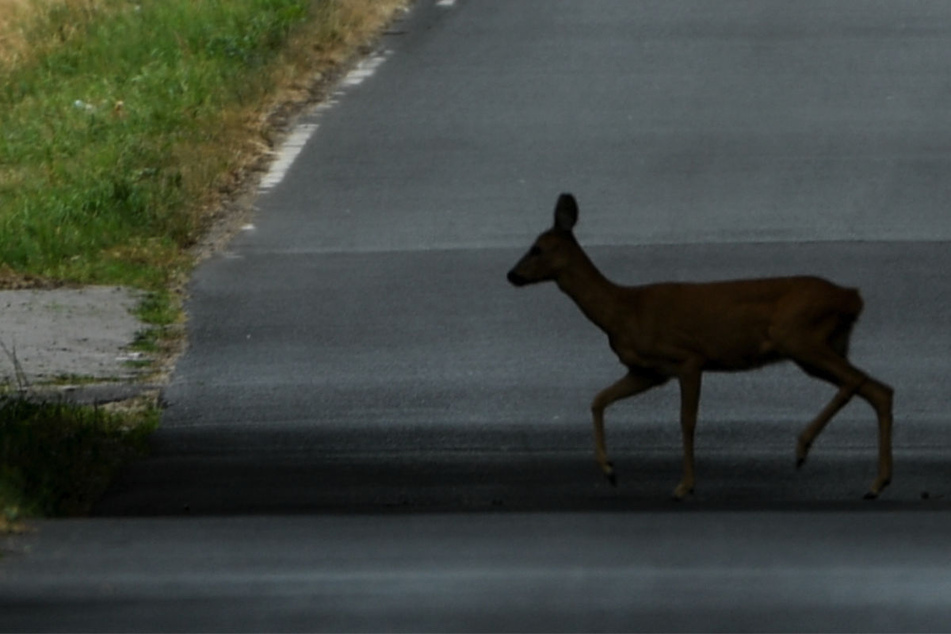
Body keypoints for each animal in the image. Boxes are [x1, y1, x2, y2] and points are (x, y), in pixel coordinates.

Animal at [510, 193, 896, 498]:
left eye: (537, 248)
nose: (511, 275)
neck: (623, 310)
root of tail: (852, 297)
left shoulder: (688, 358)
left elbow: (687, 421)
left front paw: (685, 486)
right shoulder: (647, 371)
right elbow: (598, 399)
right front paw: (609, 471)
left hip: (801, 337)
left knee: (856, 381)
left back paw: (804, 448)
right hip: (818, 348)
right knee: (879, 389)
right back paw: (876, 484)